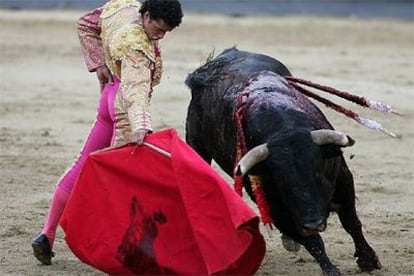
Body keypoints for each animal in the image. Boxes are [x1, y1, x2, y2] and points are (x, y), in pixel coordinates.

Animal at [184, 48, 382, 276]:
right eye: (282, 181)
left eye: (318, 170)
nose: (313, 223)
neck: (284, 129)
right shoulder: (271, 204)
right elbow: (312, 241)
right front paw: (331, 269)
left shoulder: (342, 176)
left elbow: (351, 221)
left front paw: (368, 260)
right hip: (197, 146)